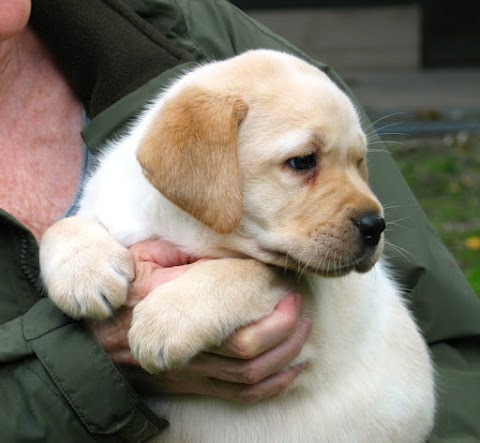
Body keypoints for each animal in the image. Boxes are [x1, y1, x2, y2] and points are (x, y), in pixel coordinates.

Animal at [40, 50, 436, 442]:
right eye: (302, 161)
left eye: (358, 163)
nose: (375, 226)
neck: (174, 225)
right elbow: (61, 226)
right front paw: (83, 272)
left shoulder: (313, 324)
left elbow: (249, 268)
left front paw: (167, 320)